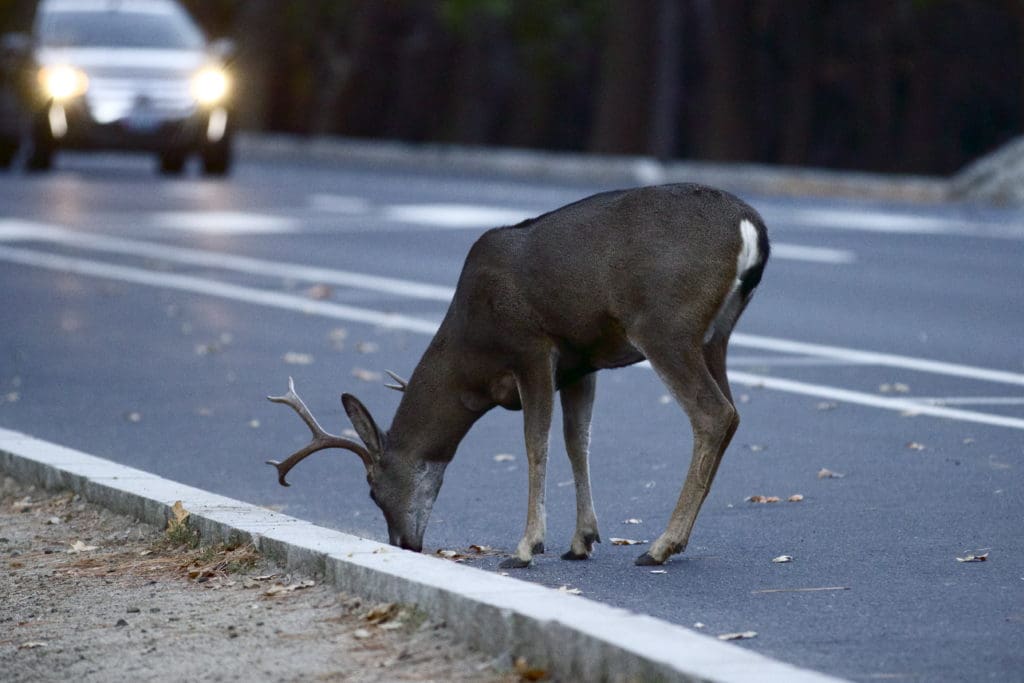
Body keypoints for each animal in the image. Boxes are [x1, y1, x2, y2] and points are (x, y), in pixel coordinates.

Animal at [264, 184, 770, 569]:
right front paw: (581, 541)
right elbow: (576, 441)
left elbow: (535, 443)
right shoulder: (581, 364)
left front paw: (526, 548)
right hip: (715, 335)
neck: (472, 358)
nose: (404, 544)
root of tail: (752, 228)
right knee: (732, 413)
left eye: (371, 489)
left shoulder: (532, 346)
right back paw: (671, 540)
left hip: (664, 324)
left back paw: (661, 546)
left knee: (713, 414)